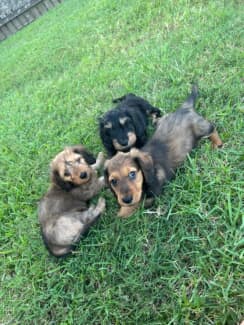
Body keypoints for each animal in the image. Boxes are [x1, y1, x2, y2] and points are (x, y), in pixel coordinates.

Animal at [104, 86, 222, 216]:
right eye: (113, 181)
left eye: (132, 174)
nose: (126, 199)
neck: (146, 178)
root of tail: (184, 108)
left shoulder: (153, 196)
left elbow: (134, 206)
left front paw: (119, 214)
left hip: (201, 128)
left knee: (212, 128)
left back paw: (217, 144)